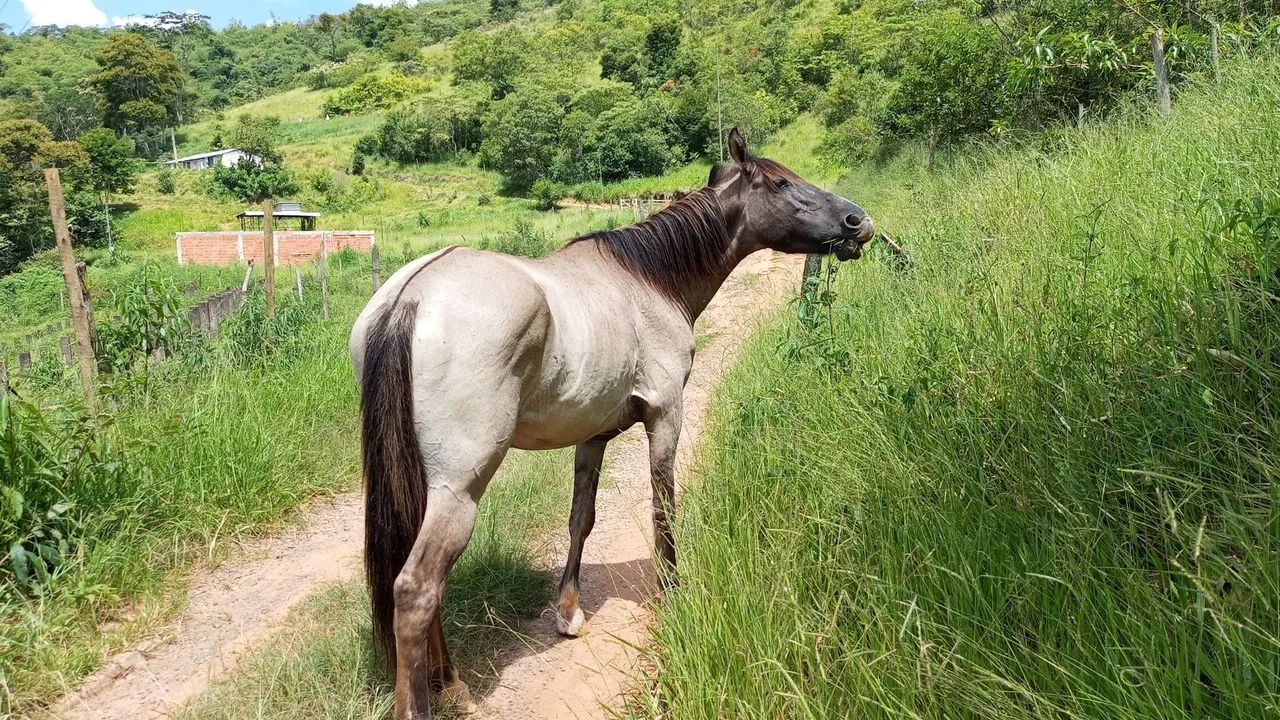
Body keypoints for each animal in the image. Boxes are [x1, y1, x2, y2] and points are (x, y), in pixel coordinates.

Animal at [349, 128, 875, 719]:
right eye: (782, 184)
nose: (857, 221)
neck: (649, 280)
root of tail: (411, 297)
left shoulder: (594, 437)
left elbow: (582, 519)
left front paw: (569, 611)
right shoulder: (666, 414)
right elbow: (663, 506)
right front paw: (672, 592)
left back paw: (451, 684)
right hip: (458, 488)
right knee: (416, 587)